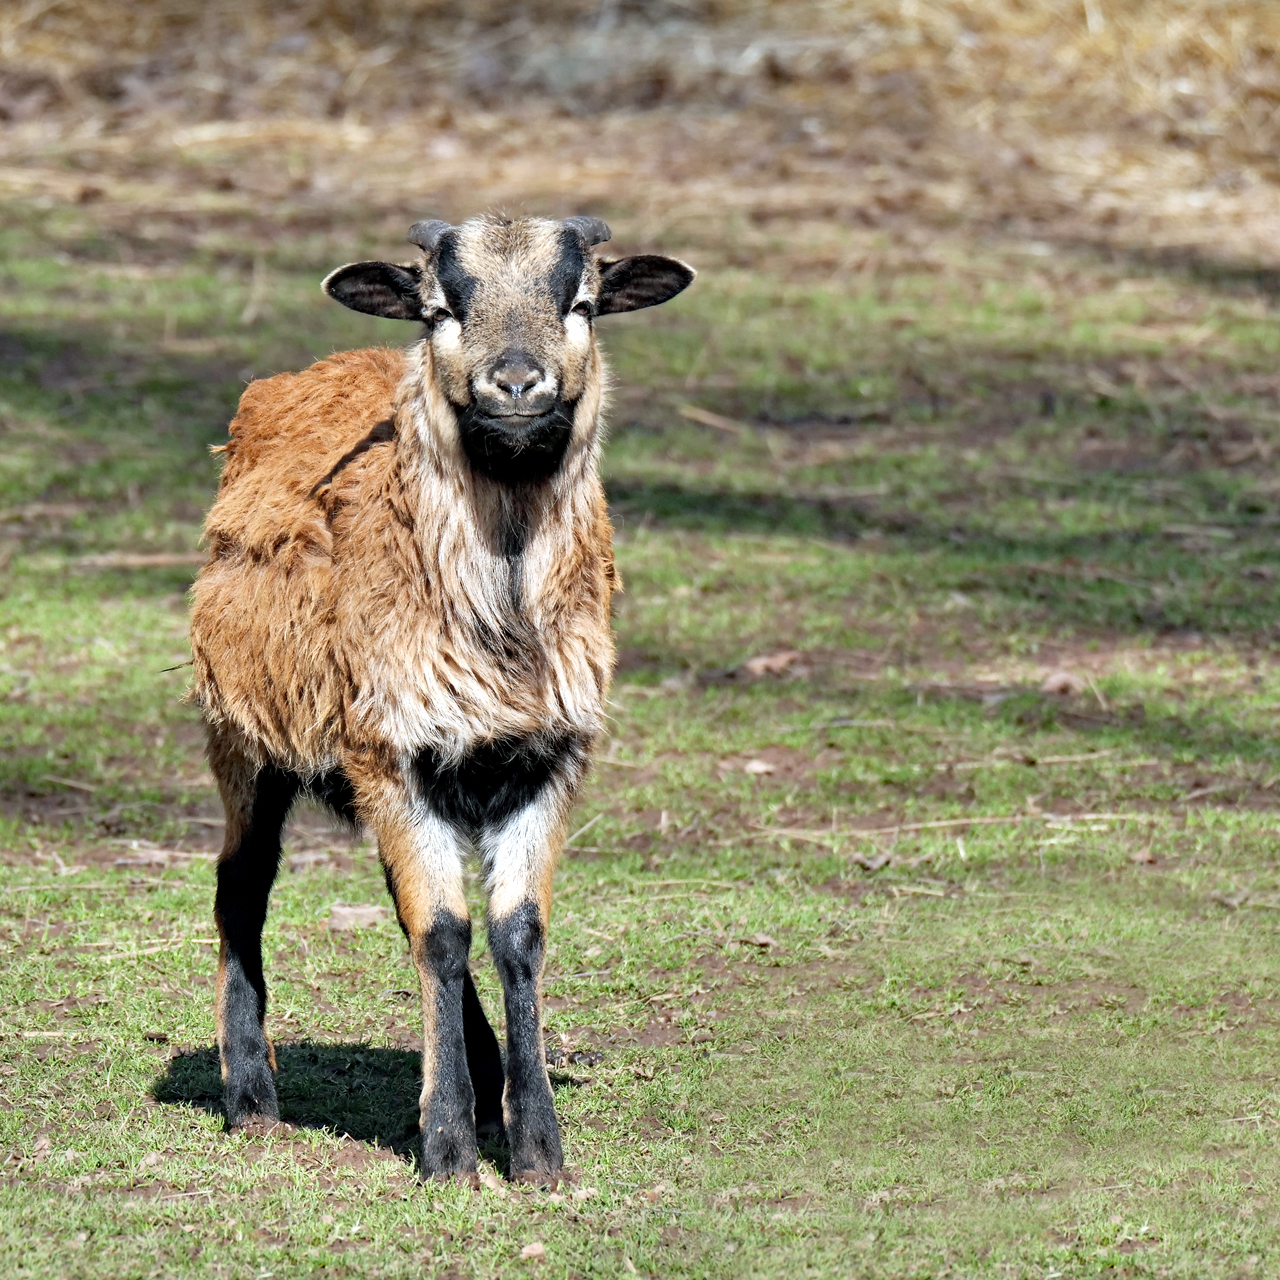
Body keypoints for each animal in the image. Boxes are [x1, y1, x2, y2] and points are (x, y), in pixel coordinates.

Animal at [186, 209, 696, 1177]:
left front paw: (535, 1147)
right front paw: (450, 1146)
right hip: (246, 738)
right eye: (440, 310)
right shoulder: (392, 751)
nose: (517, 383)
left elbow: (513, 934)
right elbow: (445, 934)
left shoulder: (546, 758)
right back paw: (252, 1097)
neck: (504, 621)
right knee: (244, 882)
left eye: (580, 301)